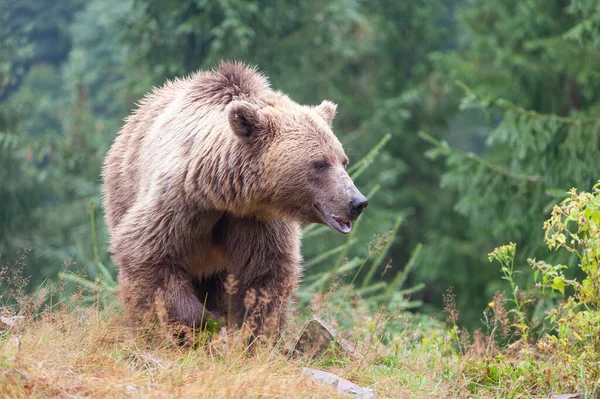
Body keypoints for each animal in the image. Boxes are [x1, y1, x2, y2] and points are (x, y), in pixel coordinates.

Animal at [101, 61, 368, 338]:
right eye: (320, 163)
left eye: (343, 161)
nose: (357, 202)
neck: (224, 195)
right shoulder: (180, 203)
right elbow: (148, 255)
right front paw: (202, 321)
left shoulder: (255, 221)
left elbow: (263, 277)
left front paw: (254, 330)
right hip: (122, 189)